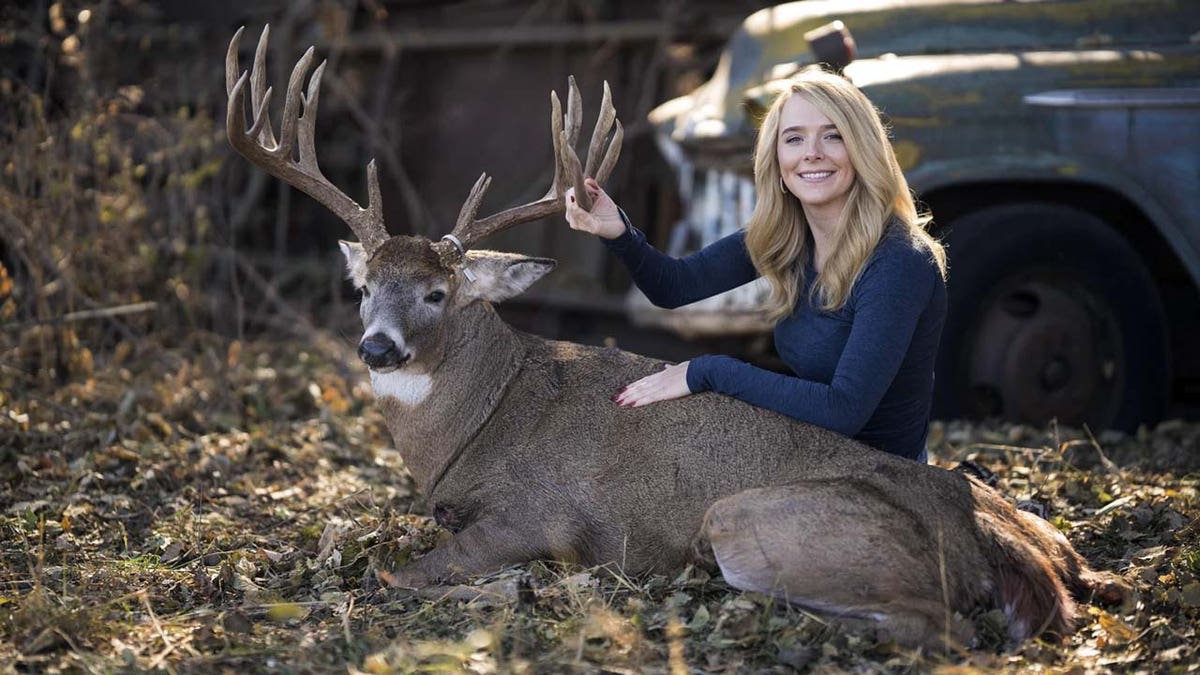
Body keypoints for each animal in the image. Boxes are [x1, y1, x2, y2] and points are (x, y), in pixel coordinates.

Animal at [223, 26, 1123, 648]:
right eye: (364, 287)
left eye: (438, 292)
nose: (378, 347)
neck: (476, 423)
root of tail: (1011, 548)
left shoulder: (541, 515)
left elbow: (400, 572)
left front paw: (504, 590)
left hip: (750, 518)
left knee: (940, 629)